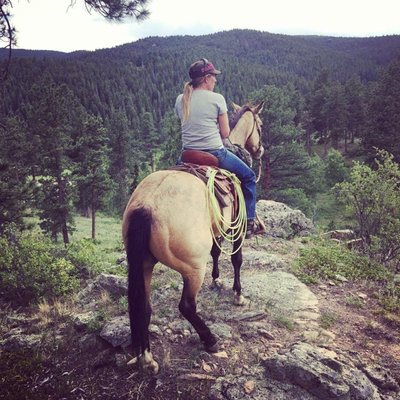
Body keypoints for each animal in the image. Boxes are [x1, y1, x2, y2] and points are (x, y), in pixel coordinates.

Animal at [122, 99, 266, 372]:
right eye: (260, 126)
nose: (260, 150)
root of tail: (148, 204)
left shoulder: (217, 228)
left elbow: (217, 251)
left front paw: (217, 280)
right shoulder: (237, 226)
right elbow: (237, 259)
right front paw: (238, 294)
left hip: (144, 263)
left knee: (143, 306)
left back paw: (146, 357)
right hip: (192, 268)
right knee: (186, 306)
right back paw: (210, 340)